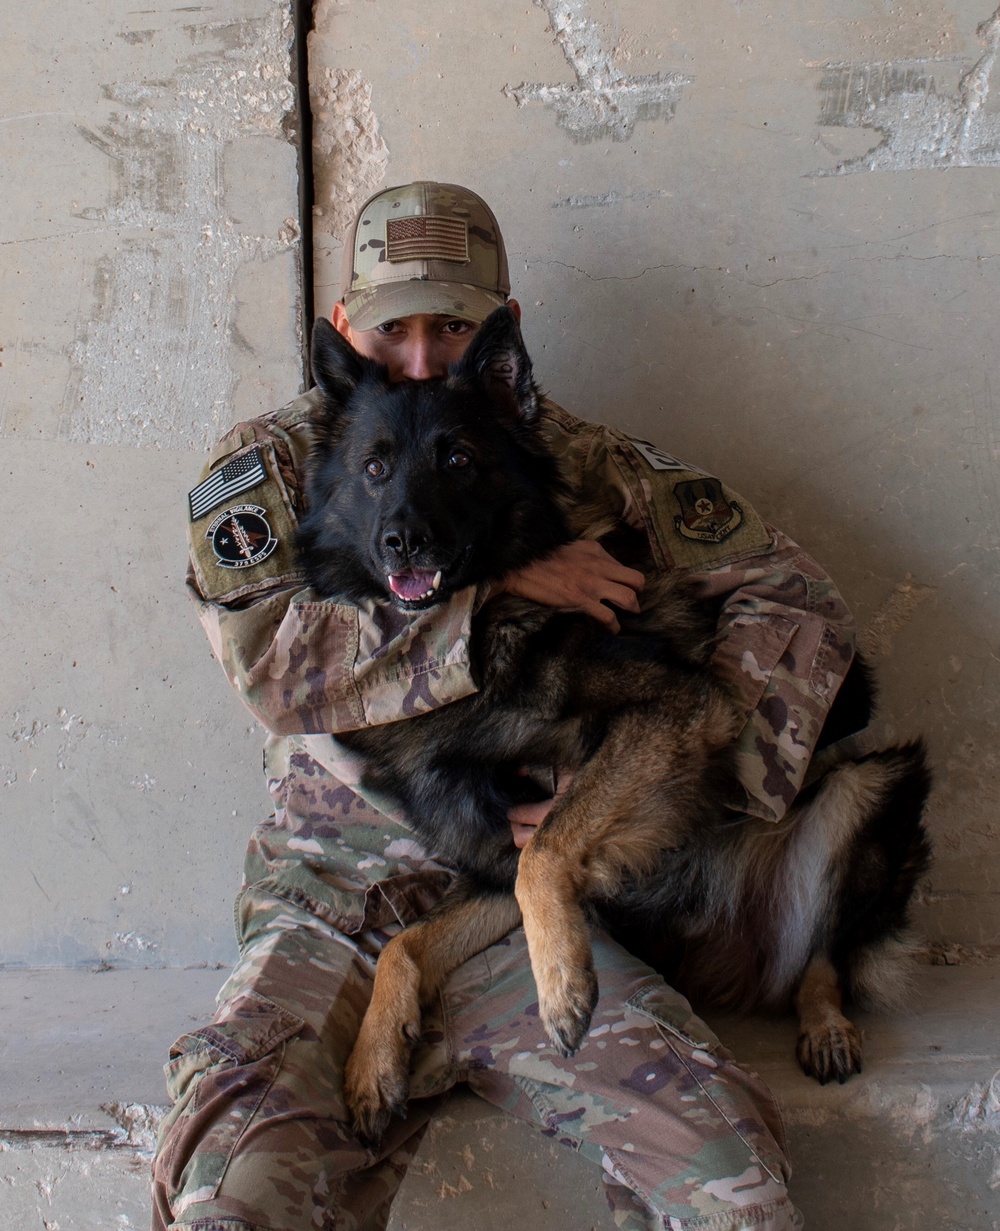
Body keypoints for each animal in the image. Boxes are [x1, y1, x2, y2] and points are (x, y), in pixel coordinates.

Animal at [294, 307, 931, 1142]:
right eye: (374, 468)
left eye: (459, 458)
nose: (405, 540)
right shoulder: (491, 857)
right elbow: (404, 941)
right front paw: (373, 1061)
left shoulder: (677, 711)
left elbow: (548, 853)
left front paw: (561, 986)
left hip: (873, 779)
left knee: (823, 956)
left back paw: (825, 1024)